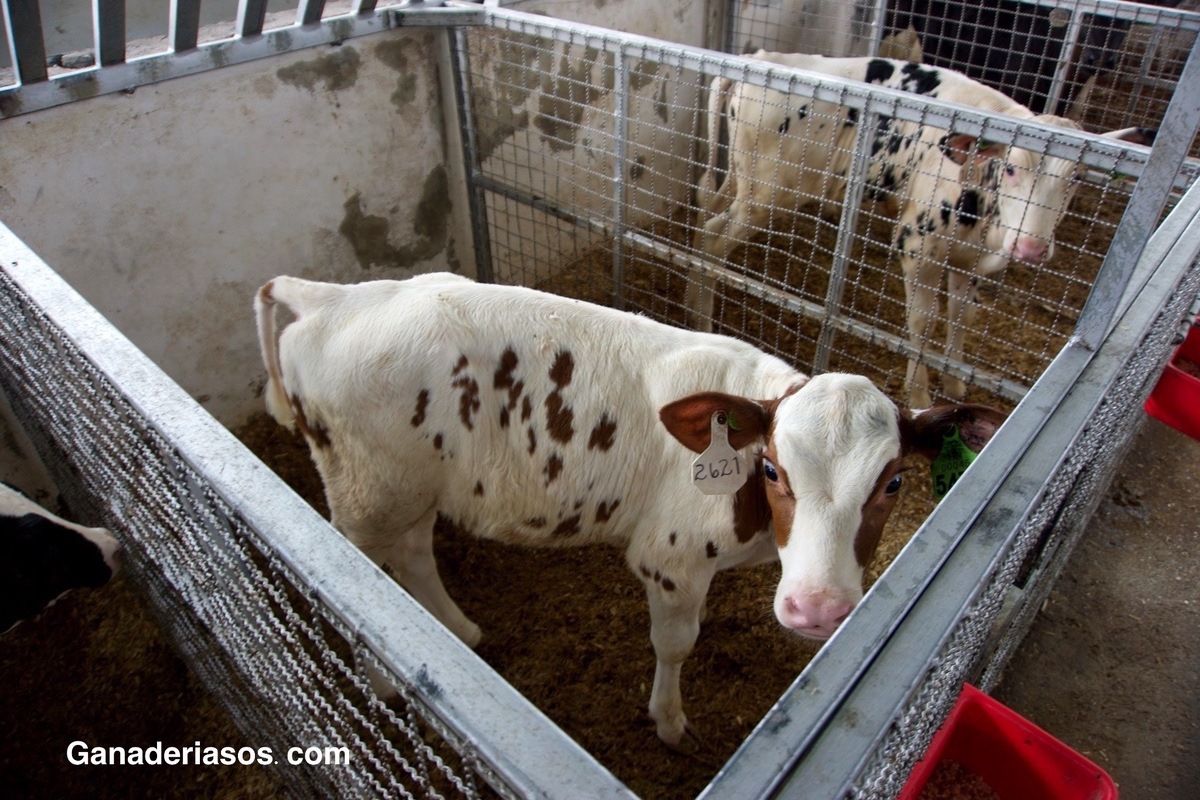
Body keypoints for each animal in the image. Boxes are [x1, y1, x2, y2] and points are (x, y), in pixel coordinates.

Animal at [258, 273, 1008, 753]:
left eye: (894, 483)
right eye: (772, 469)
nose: (817, 610)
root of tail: (334, 297)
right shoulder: (670, 560)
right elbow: (675, 645)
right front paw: (670, 724)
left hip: (407, 486)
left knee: (411, 554)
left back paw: (458, 630)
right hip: (365, 493)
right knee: (356, 581)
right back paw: (384, 679)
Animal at [696, 51, 1152, 407]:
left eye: (1077, 176)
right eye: (1010, 167)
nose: (1031, 248)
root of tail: (762, 58)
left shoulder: (966, 258)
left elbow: (961, 315)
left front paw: (954, 382)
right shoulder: (917, 246)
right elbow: (923, 319)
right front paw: (919, 394)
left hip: (741, 180)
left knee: (705, 215)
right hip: (767, 195)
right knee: (713, 239)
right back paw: (703, 321)